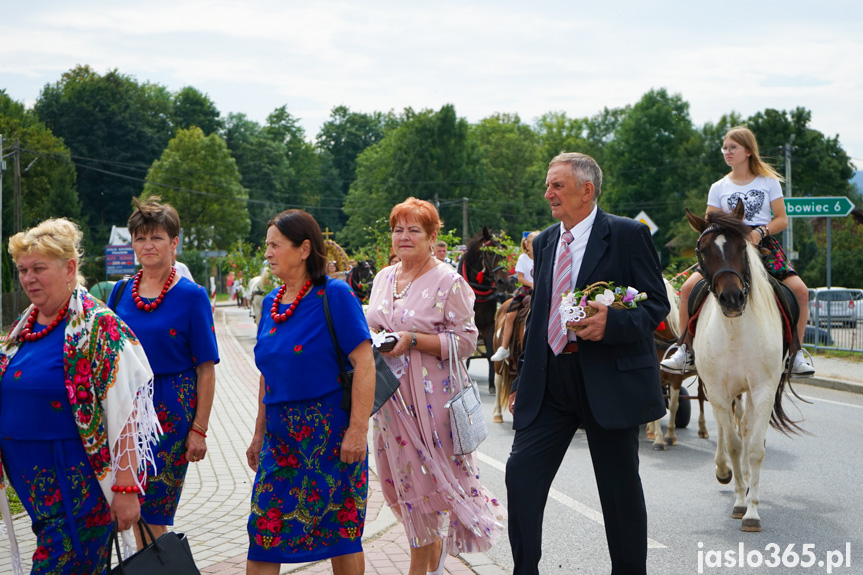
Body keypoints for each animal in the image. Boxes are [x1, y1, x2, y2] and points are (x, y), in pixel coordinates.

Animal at [688, 205, 804, 532]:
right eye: (703, 250)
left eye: (743, 247)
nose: (732, 298)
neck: (735, 330)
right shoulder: (717, 389)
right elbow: (734, 445)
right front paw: (740, 501)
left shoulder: (763, 388)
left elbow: (753, 447)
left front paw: (752, 511)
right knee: (727, 431)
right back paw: (723, 470)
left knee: (748, 428)